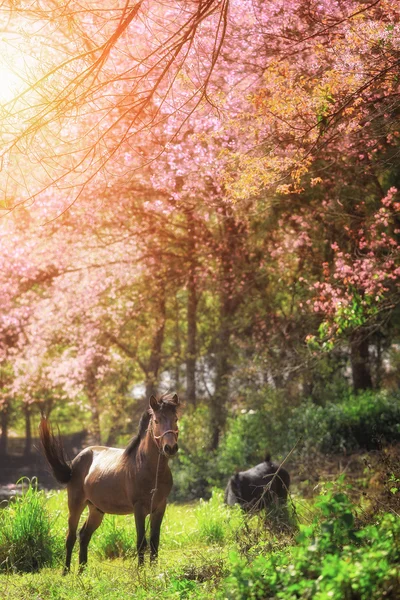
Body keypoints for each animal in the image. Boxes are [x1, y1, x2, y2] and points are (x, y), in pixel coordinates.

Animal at [39, 394, 180, 572]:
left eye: (175, 419)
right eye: (156, 420)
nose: (170, 447)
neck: (149, 468)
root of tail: (77, 460)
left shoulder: (160, 507)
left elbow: (155, 543)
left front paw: (154, 572)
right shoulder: (139, 509)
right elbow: (141, 543)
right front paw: (141, 572)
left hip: (96, 510)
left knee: (84, 535)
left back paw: (82, 572)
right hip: (76, 505)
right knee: (70, 537)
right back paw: (66, 572)